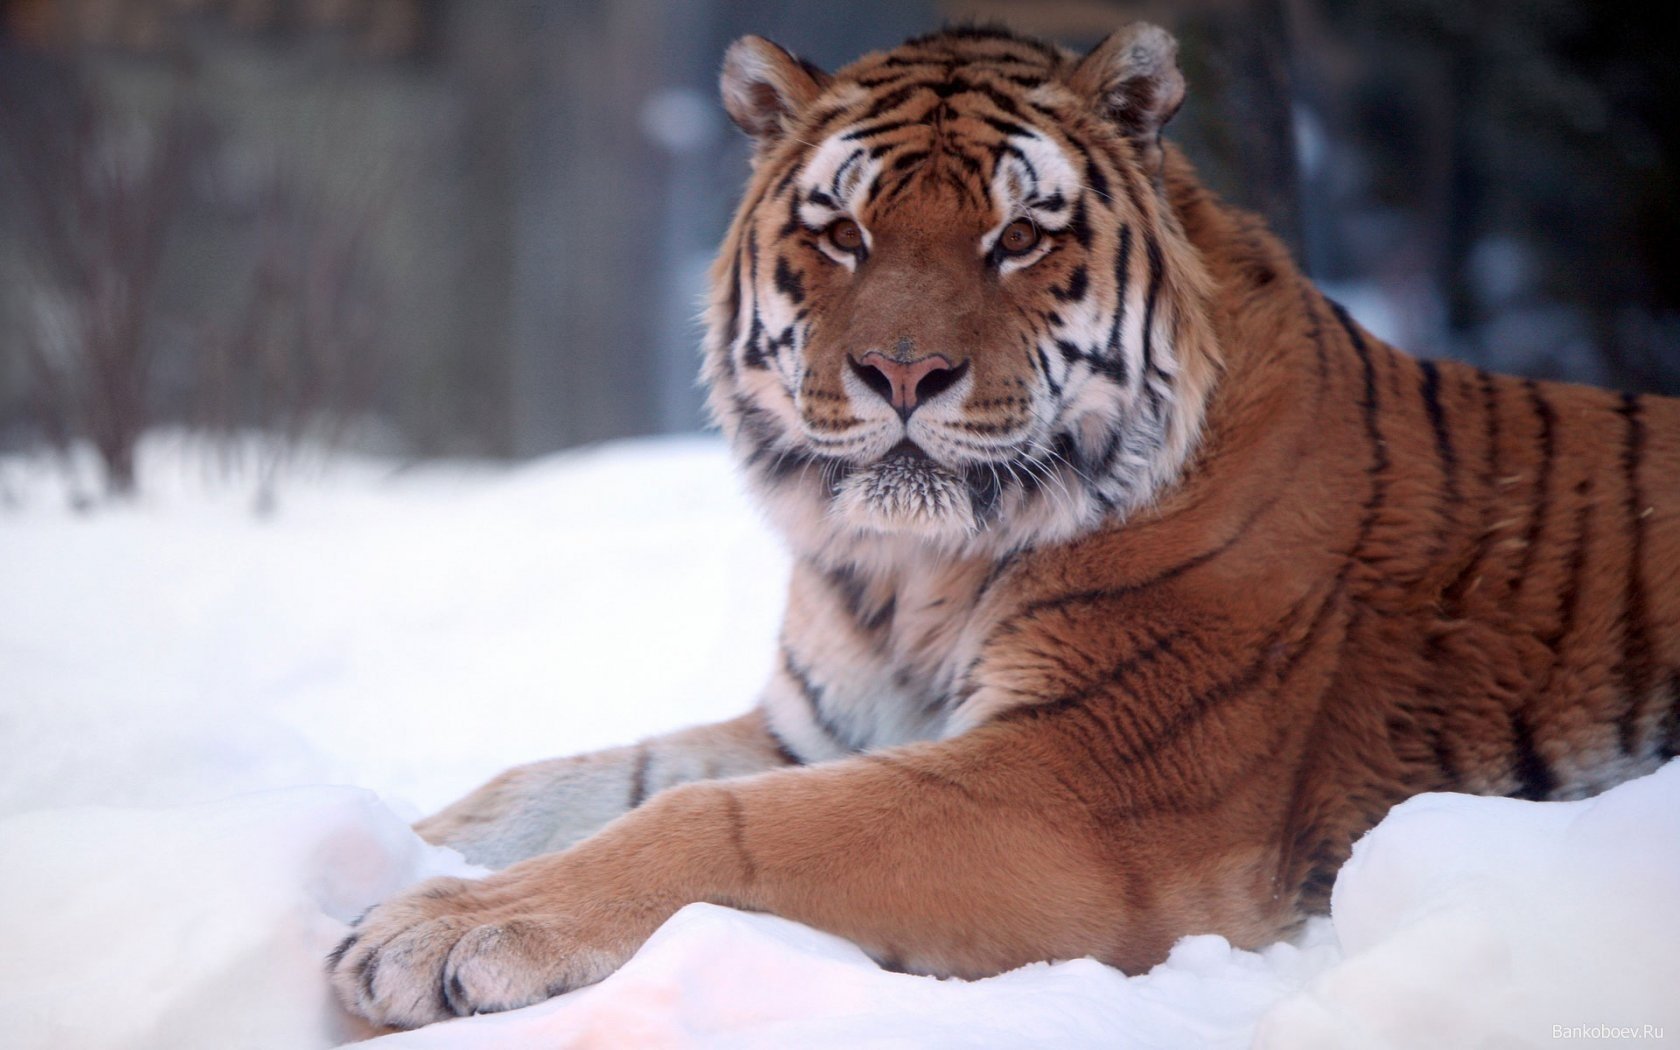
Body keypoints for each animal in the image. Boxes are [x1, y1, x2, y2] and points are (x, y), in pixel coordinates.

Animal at [329, 23, 1680, 1028]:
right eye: (842, 231)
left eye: (1020, 236)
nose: (902, 372)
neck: (907, 575)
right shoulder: (817, 727)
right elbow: (550, 787)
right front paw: (394, 862)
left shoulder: (1080, 783)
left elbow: (718, 825)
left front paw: (434, 934)